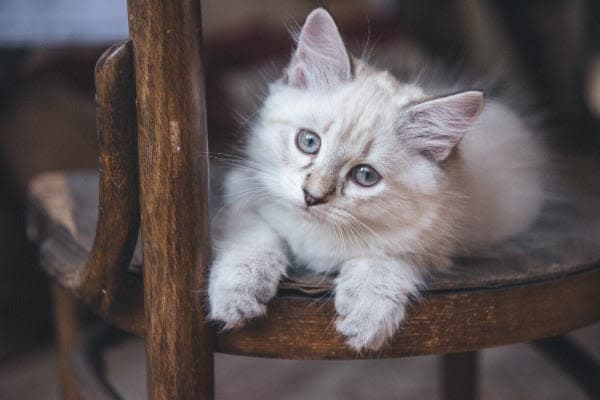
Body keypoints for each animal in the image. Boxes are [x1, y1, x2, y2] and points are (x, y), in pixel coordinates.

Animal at [209, 6, 548, 350]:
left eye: (365, 176)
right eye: (309, 142)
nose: (312, 196)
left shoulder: (431, 242)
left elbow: (383, 262)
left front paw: (366, 318)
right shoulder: (242, 192)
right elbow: (253, 239)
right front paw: (236, 297)